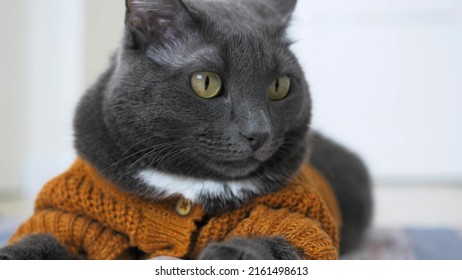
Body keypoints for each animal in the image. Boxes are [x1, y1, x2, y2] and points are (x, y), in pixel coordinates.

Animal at [0, 0, 372, 260]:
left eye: (280, 86)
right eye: (206, 83)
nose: (259, 132)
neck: (189, 184)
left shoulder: (299, 215)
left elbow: (283, 240)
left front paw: (232, 255)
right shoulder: (77, 213)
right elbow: (45, 235)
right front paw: (14, 253)